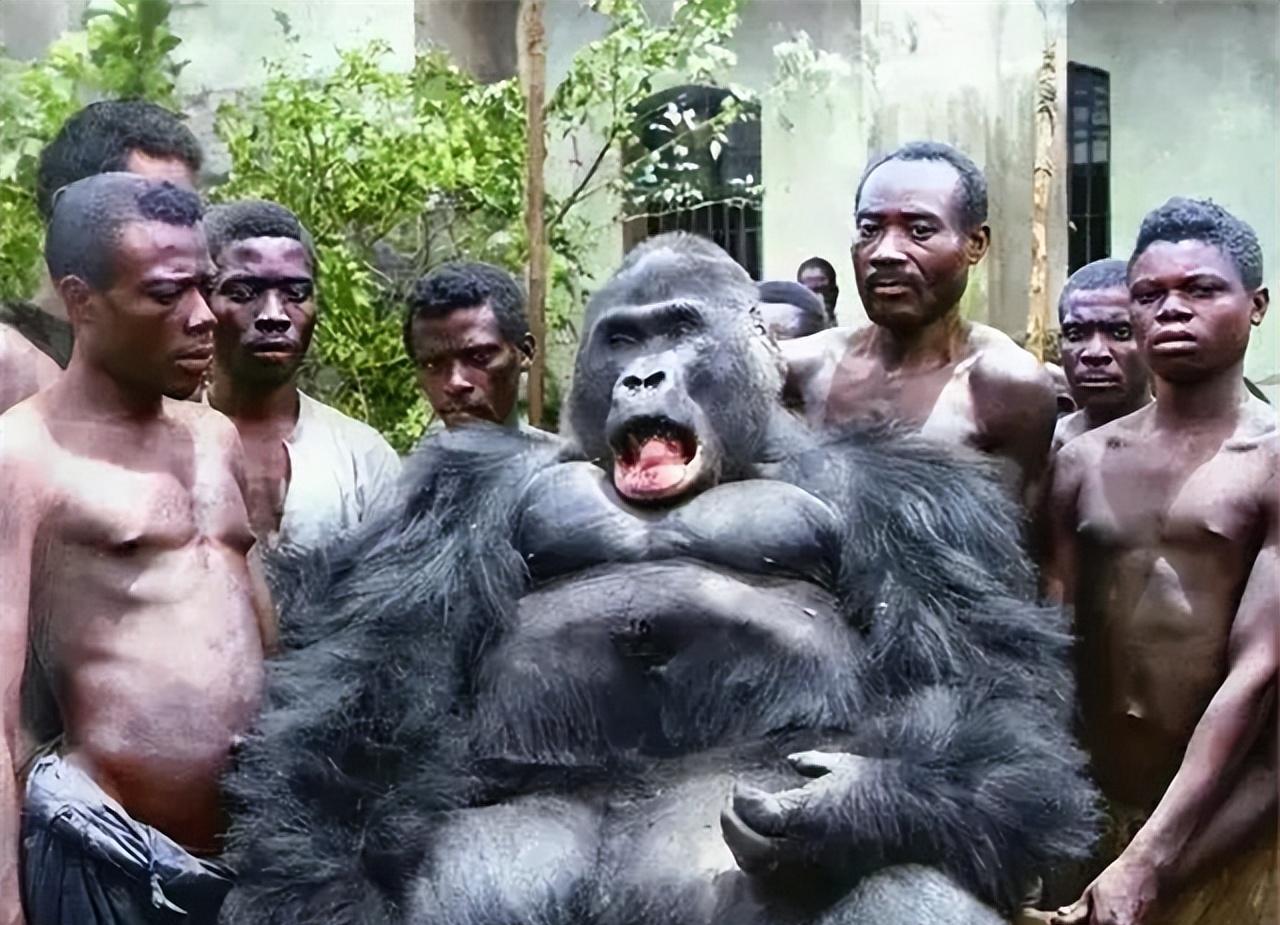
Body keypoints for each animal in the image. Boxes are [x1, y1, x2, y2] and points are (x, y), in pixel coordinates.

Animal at [225, 232, 1095, 925]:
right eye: (620, 338)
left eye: (679, 329)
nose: (642, 378)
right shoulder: (459, 483)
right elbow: (377, 679)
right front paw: (322, 890)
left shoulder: (918, 496)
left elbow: (984, 689)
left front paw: (850, 806)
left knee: (908, 881)